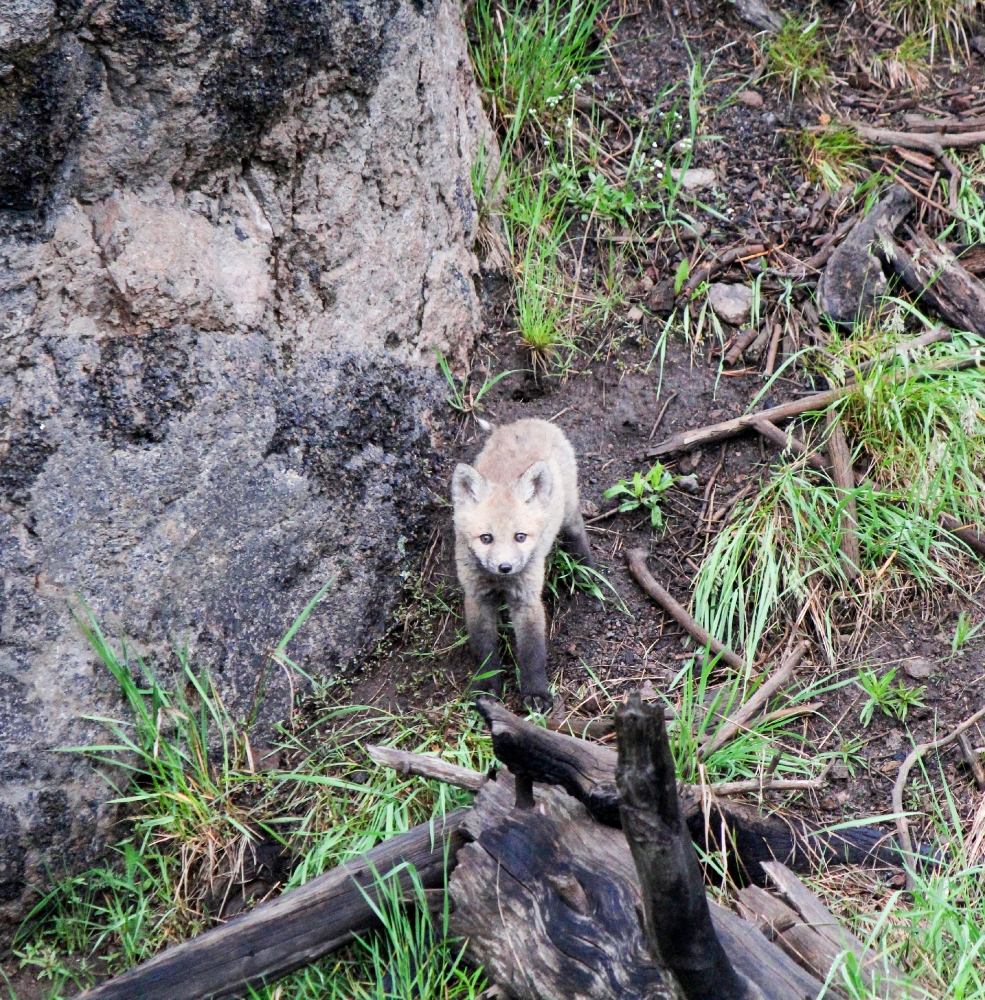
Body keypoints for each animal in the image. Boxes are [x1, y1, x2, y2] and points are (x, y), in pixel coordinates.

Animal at [452, 418, 592, 708]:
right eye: (486, 538)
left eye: (520, 537)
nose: (505, 567)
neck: (501, 583)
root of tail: (531, 421)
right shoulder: (477, 597)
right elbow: (484, 650)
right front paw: (486, 687)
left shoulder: (527, 600)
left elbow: (532, 652)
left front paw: (536, 693)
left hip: (569, 508)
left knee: (576, 532)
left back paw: (587, 569)